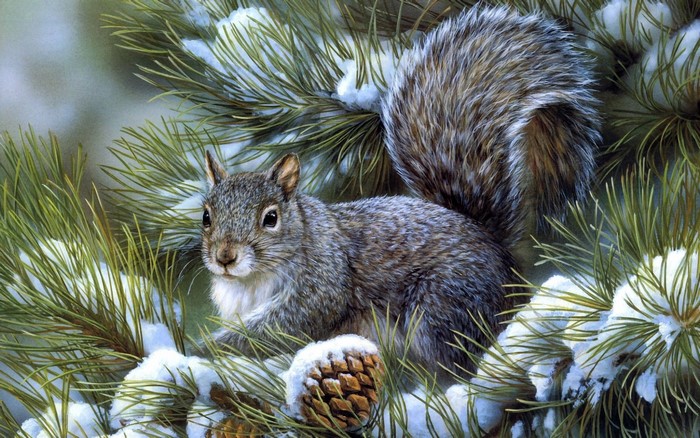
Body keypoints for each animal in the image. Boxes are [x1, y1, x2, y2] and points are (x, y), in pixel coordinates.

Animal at [201, 6, 600, 377]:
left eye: (271, 218)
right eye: (206, 216)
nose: (225, 257)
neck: (251, 280)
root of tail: (502, 258)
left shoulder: (322, 283)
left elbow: (283, 327)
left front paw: (212, 348)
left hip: (443, 306)